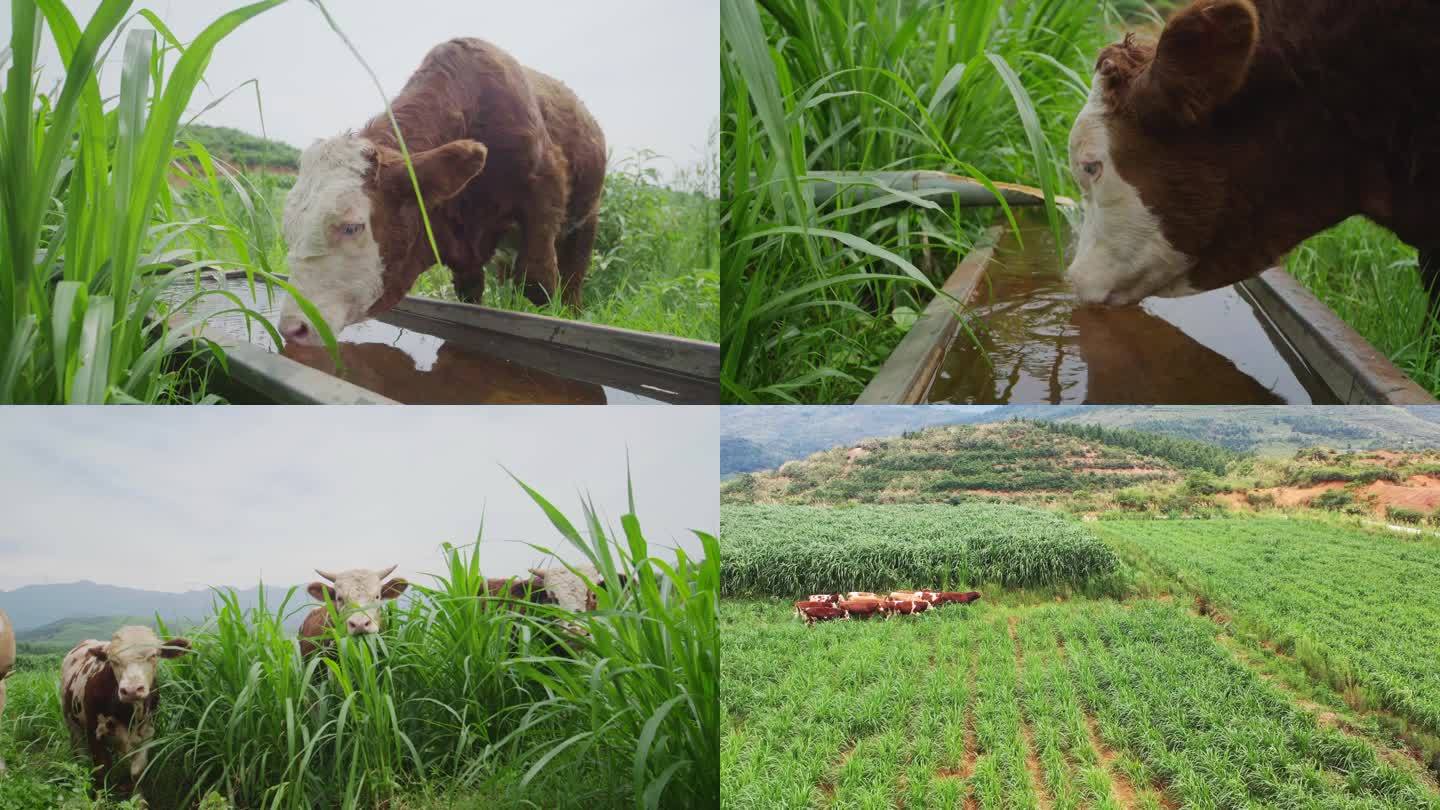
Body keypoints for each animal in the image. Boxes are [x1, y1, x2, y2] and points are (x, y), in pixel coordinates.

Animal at [60, 625, 191, 795]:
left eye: (153, 655)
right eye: (113, 660)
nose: (131, 690)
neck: (129, 715)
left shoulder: (148, 732)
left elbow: (137, 771)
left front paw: (139, 797)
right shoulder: (94, 732)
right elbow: (101, 771)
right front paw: (100, 797)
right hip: (72, 722)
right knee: (79, 752)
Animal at [276, 37, 607, 343]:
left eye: (352, 227)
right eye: (289, 231)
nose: (292, 328)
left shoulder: (543, 198)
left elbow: (538, 282)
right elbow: (470, 294)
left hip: (586, 221)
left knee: (572, 280)